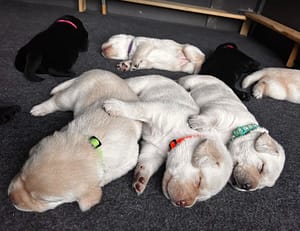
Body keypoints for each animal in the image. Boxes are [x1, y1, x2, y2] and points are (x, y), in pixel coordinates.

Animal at [7, 69, 142, 212]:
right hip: (71, 95)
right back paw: (40, 109)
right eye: (23, 173)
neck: (90, 144)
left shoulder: (130, 159)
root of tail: (97, 71)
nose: (11, 198)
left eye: (45, 200)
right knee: (57, 99)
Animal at [103, 76, 232, 208]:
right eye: (199, 180)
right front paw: (116, 107)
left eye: (201, 198)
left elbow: (147, 162)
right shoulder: (158, 110)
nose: (183, 204)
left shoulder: (154, 150)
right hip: (142, 82)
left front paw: (141, 179)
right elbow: (139, 109)